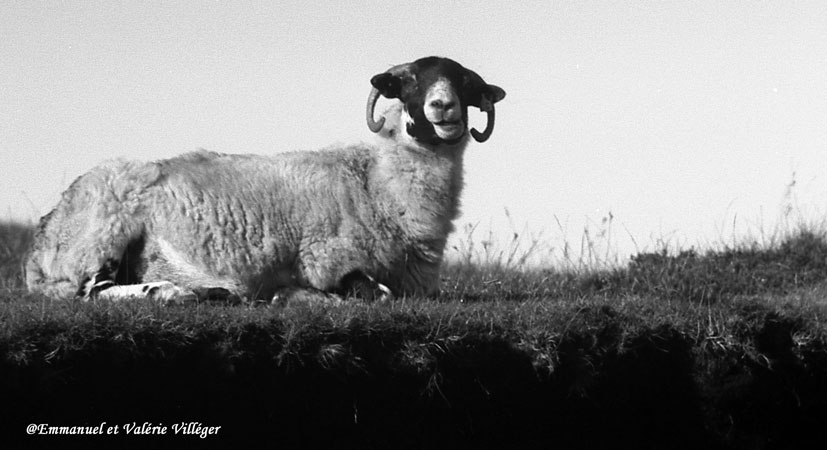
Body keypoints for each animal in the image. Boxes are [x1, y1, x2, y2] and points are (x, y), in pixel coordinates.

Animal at [24, 55, 504, 302]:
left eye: (463, 82)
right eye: (409, 84)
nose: (443, 107)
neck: (375, 184)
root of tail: (40, 243)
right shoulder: (326, 259)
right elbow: (375, 293)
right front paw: (295, 297)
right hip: (102, 236)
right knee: (89, 291)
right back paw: (166, 292)